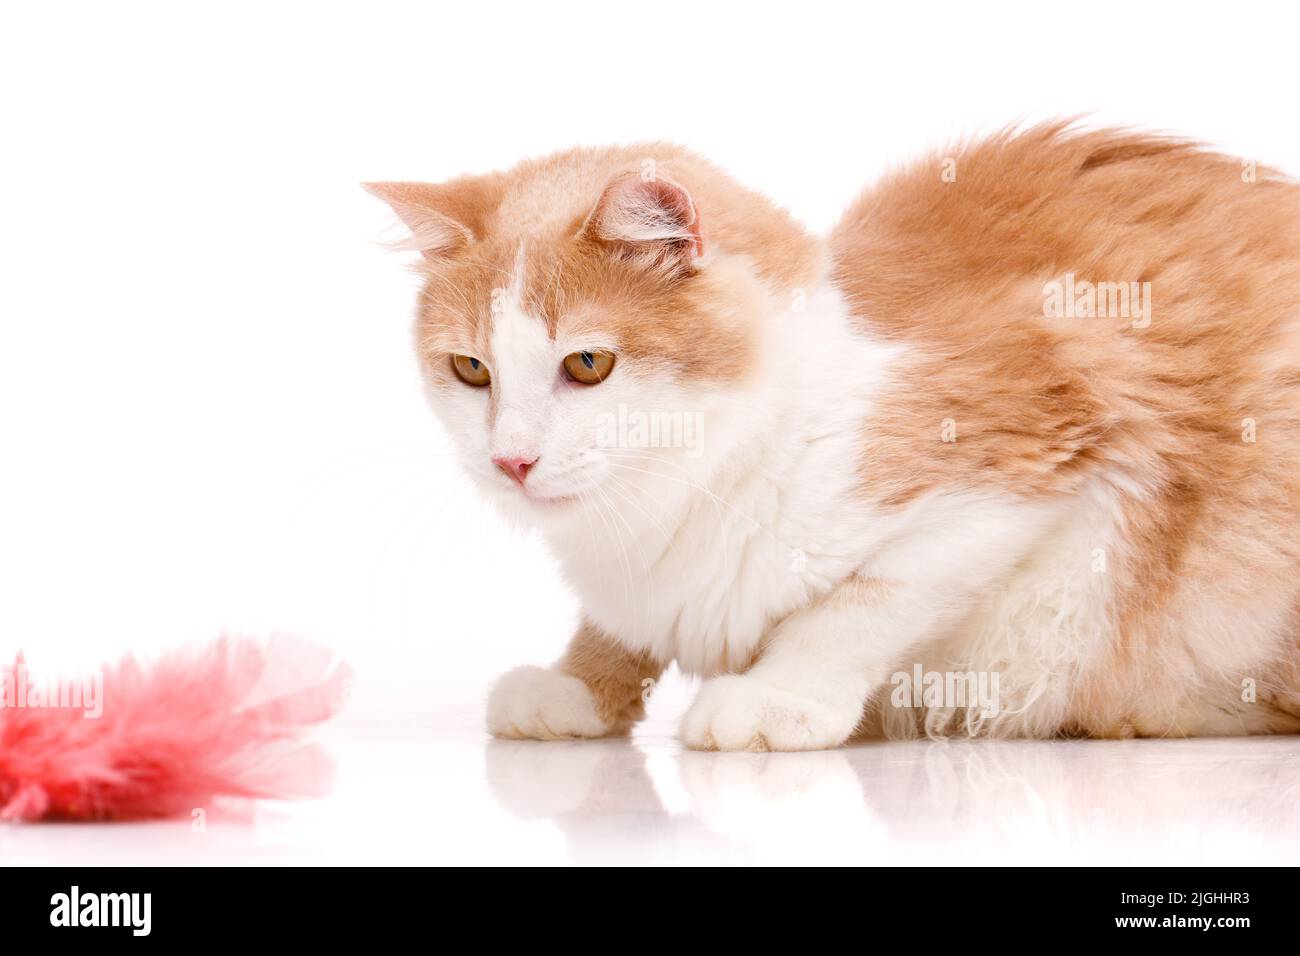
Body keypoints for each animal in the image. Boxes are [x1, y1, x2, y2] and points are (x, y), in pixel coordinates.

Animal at [364, 125, 1300, 754]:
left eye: (587, 363)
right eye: (471, 370)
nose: (510, 459)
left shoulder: (1036, 458)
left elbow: (859, 607)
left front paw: (777, 697)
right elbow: (618, 626)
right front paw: (576, 685)